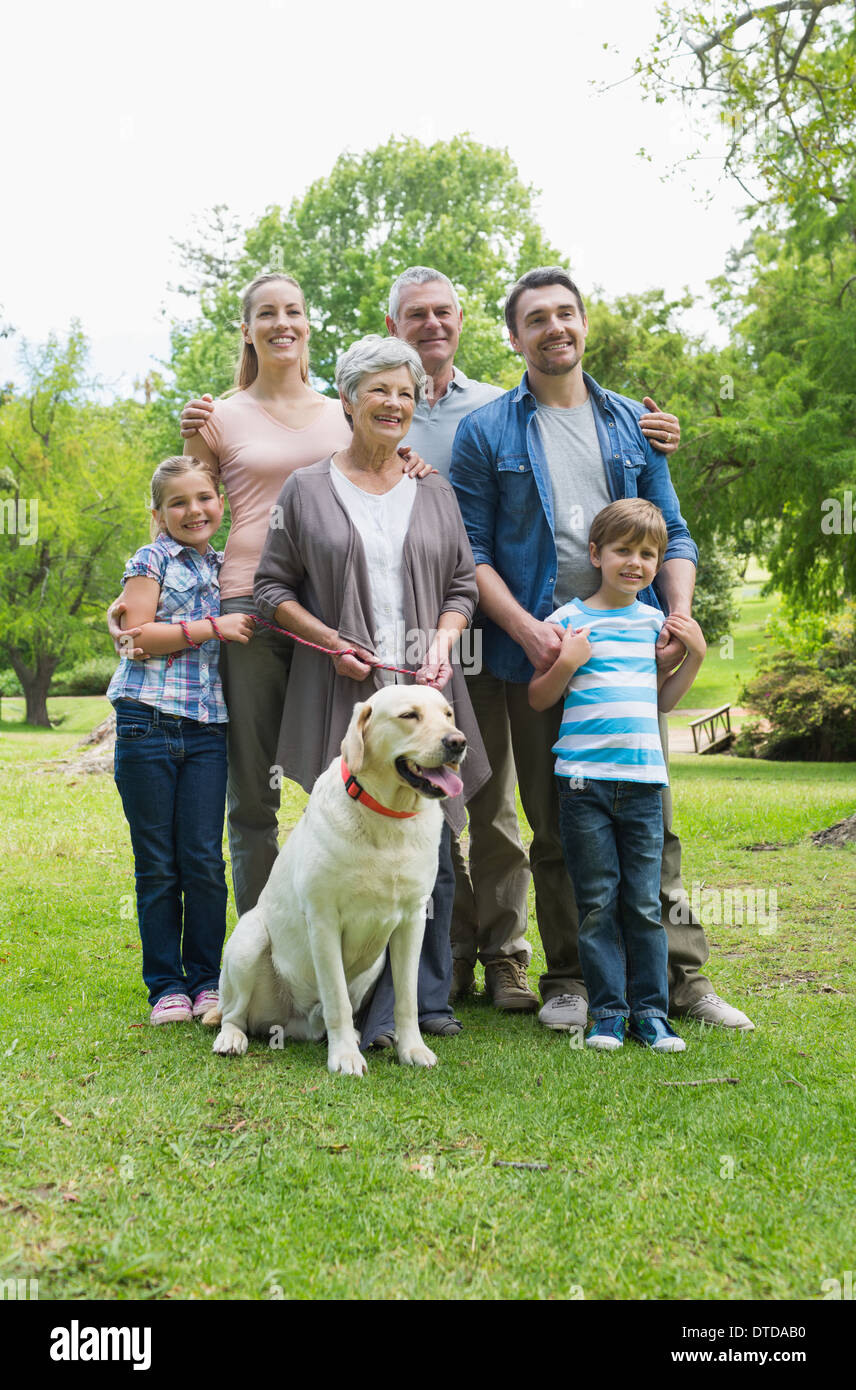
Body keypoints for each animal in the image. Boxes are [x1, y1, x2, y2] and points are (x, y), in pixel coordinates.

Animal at [204, 683, 464, 1073]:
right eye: (409, 715)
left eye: (448, 714)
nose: (458, 742)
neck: (387, 817)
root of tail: (290, 1022)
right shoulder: (324, 920)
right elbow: (336, 999)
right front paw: (345, 1058)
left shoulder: (412, 921)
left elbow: (406, 997)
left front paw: (412, 1049)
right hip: (249, 939)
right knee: (235, 1013)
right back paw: (232, 1038)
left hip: (374, 964)